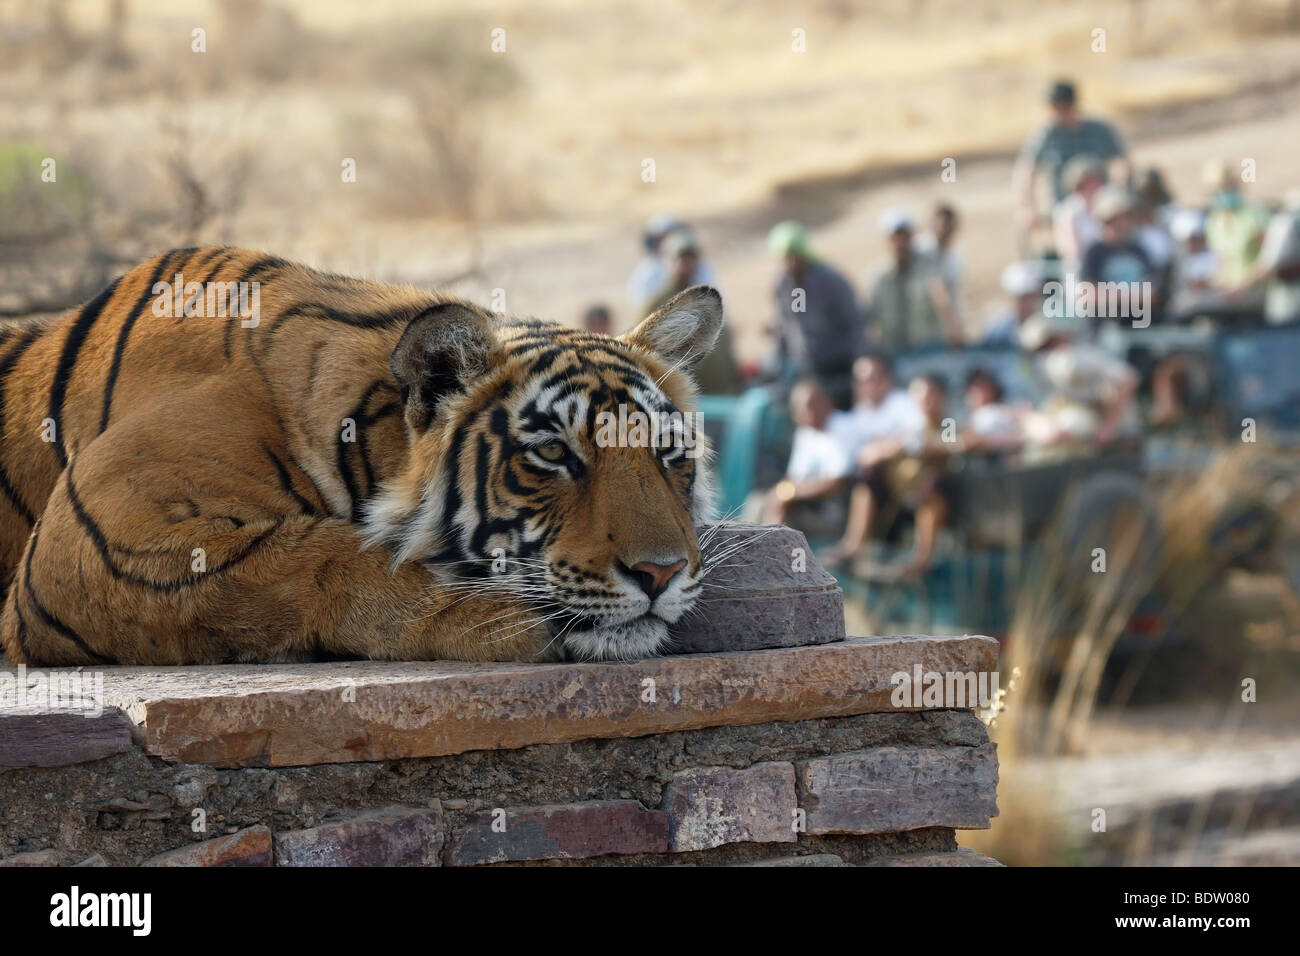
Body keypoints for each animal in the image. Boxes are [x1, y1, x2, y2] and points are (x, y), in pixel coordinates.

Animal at [0, 247, 722, 665]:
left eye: (668, 452)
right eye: (551, 452)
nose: (659, 574)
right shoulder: (92, 539)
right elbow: (315, 555)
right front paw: (493, 619)